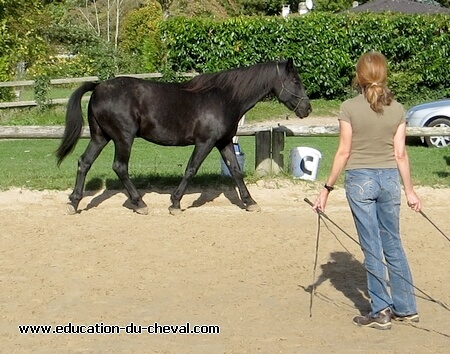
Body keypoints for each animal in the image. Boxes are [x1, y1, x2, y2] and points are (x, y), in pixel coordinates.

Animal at [56, 58, 312, 214]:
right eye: (295, 81)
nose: (307, 108)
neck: (226, 97)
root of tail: (98, 87)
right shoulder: (205, 142)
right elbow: (191, 169)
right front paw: (175, 202)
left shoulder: (224, 142)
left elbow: (236, 171)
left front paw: (250, 202)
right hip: (123, 138)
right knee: (120, 167)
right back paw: (140, 203)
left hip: (100, 137)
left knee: (84, 162)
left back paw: (74, 202)